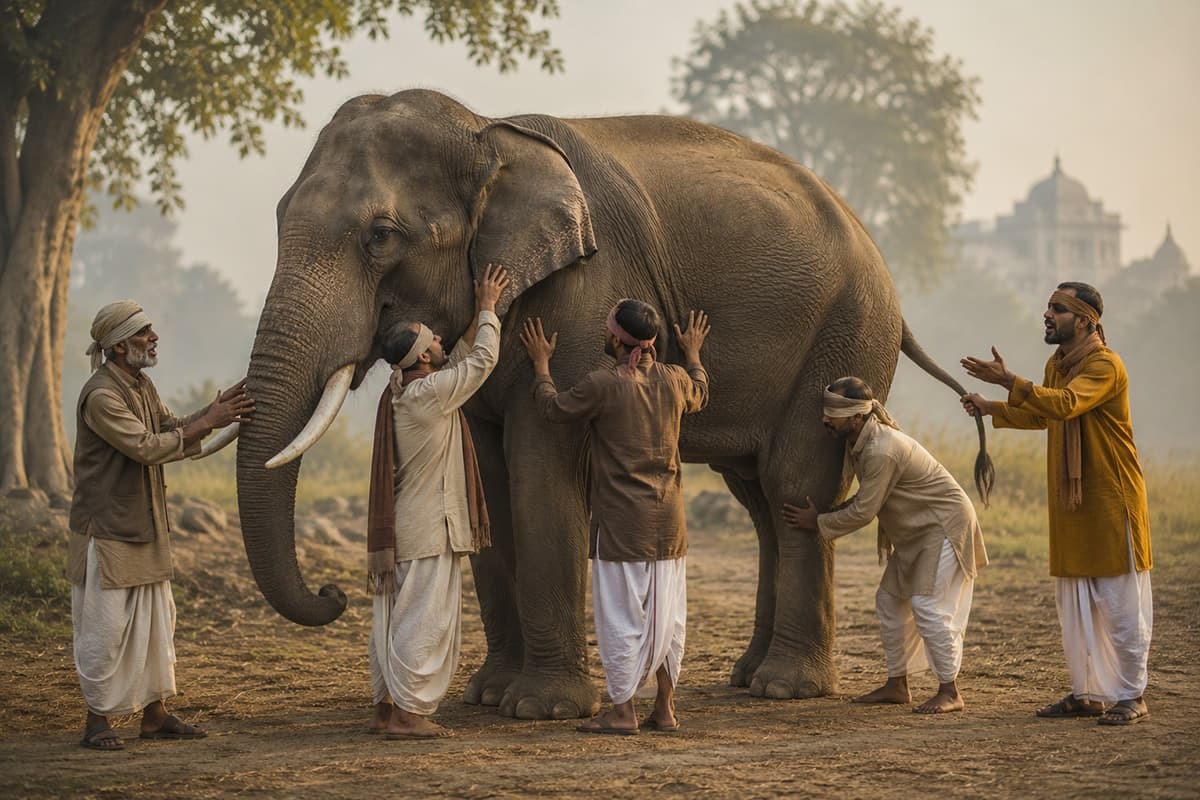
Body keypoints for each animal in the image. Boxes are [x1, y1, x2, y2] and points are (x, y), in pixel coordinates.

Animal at [231, 88, 991, 720]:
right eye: (276, 218)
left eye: (382, 236)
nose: (333, 596)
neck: (486, 132)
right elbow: (488, 476)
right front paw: (488, 697)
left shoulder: (583, 292)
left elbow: (542, 465)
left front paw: (539, 711)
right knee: (761, 499)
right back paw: (748, 677)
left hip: (844, 334)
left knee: (793, 484)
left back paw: (785, 688)